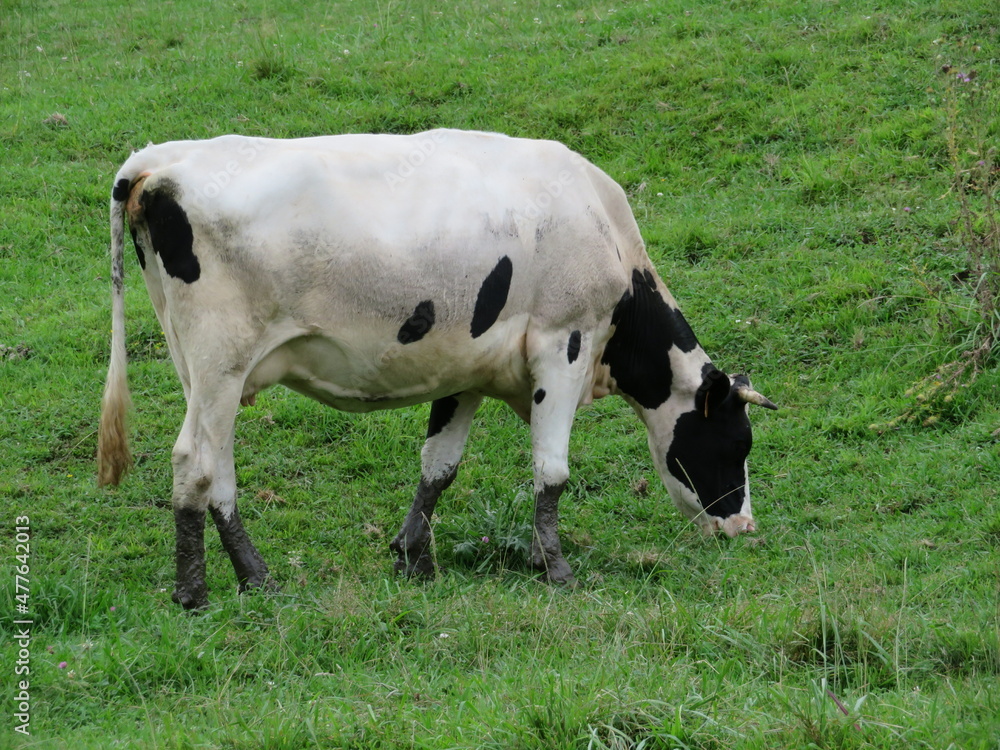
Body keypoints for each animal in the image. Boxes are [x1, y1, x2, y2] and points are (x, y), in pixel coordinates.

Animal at [97, 129, 776, 612]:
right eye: (735, 442)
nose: (744, 526)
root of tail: (160, 160)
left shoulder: (466, 372)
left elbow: (439, 468)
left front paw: (412, 557)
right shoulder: (564, 342)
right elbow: (552, 472)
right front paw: (554, 566)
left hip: (203, 371)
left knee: (219, 470)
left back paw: (256, 578)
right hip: (220, 361)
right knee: (194, 462)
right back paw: (195, 592)